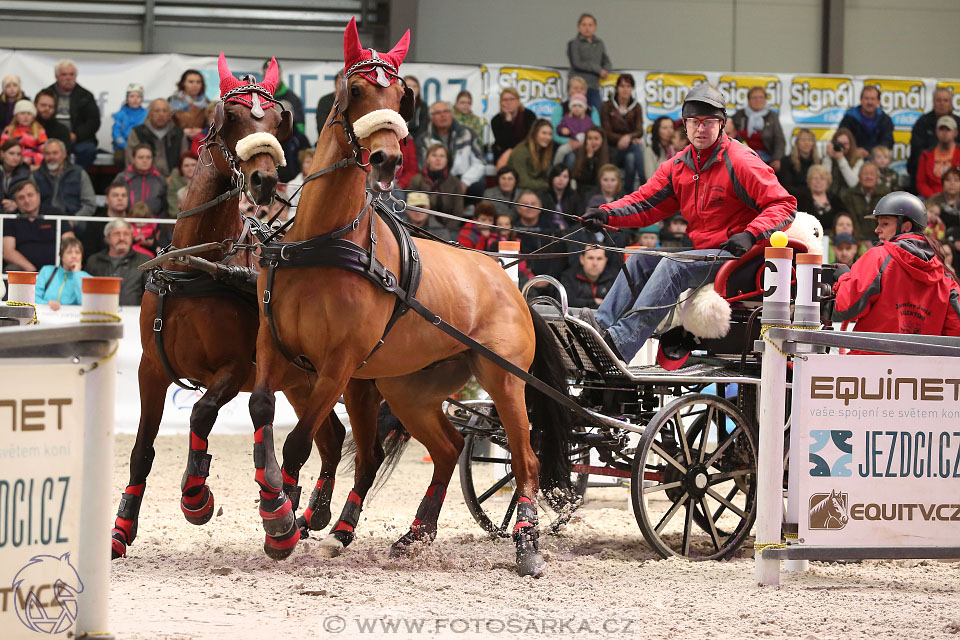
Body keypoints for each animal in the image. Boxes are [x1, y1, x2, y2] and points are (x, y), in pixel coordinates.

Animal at [111, 57, 346, 564]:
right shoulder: (150, 369)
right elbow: (141, 450)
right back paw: (307, 514)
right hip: (300, 382)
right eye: (231, 116)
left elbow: (201, 413)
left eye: (277, 121)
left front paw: (196, 495)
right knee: (332, 437)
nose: (264, 179)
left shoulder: (236, 369)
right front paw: (121, 530)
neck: (196, 265)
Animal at [248, 20, 572, 576]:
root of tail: (510, 285)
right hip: (410, 390)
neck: (324, 242)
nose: (388, 158)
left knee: (524, 458)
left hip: (504, 379)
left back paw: (527, 544)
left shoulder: (339, 365)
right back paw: (415, 533)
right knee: (449, 448)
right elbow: (262, 413)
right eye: (357, 90)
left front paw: (284, 525)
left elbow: (298, 441)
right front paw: (280, 507)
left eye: (402, 95)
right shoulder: (275, 346)